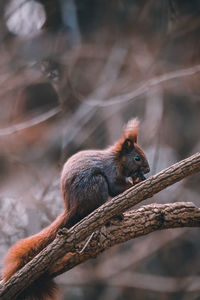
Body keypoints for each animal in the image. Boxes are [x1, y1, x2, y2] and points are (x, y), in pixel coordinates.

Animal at [0, 118, 149, 300]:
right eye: (137, 158)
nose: (148, 169)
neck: (117, 160)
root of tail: (72, 208)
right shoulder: (111, 171)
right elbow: (115, 187)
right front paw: (137, 181)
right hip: (96, 184)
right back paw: (111, 215)